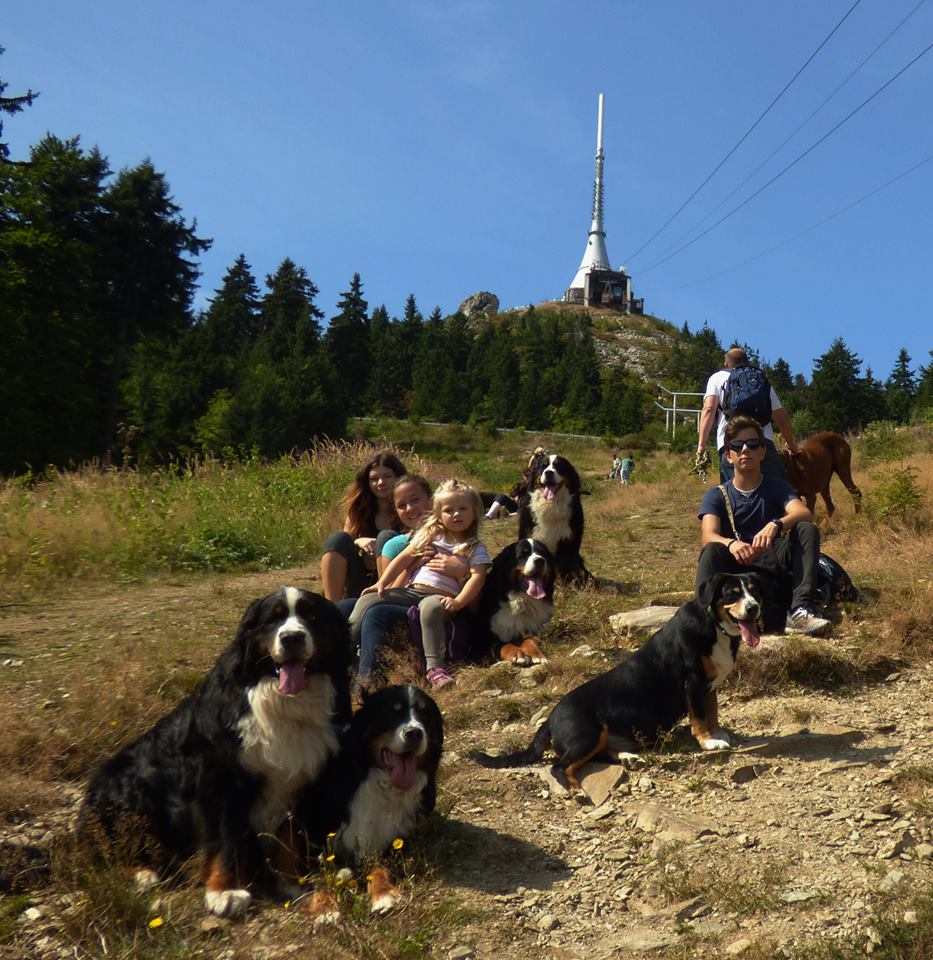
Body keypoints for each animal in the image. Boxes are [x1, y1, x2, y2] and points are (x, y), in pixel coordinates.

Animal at [79, 584, 350, 916]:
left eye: (311, 616)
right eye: (273, 620)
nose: (292, 638)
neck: (283, 702)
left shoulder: (297, 780)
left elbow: (288, 840)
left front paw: (293, 881)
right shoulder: (220, 780)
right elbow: (224, 839)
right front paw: (224, 892)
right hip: (134, 787)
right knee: (111, 849)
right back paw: (144, 873)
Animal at [292, 688, 440, 920]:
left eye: (425, 714)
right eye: (392, 712)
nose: (414, 733)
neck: (383, 784)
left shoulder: (393, 840)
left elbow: (379, 867)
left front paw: (383, 894)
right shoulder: (313, 842)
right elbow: (318, 879)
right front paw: (325, 908)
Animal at [480, 536, 552, 664]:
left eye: (542, 553)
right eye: (523, 554)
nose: (540, 560)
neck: (522, 601)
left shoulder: (532, 631)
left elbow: (529, 640)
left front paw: (536, 654)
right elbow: (503, 645)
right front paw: (517, 654)